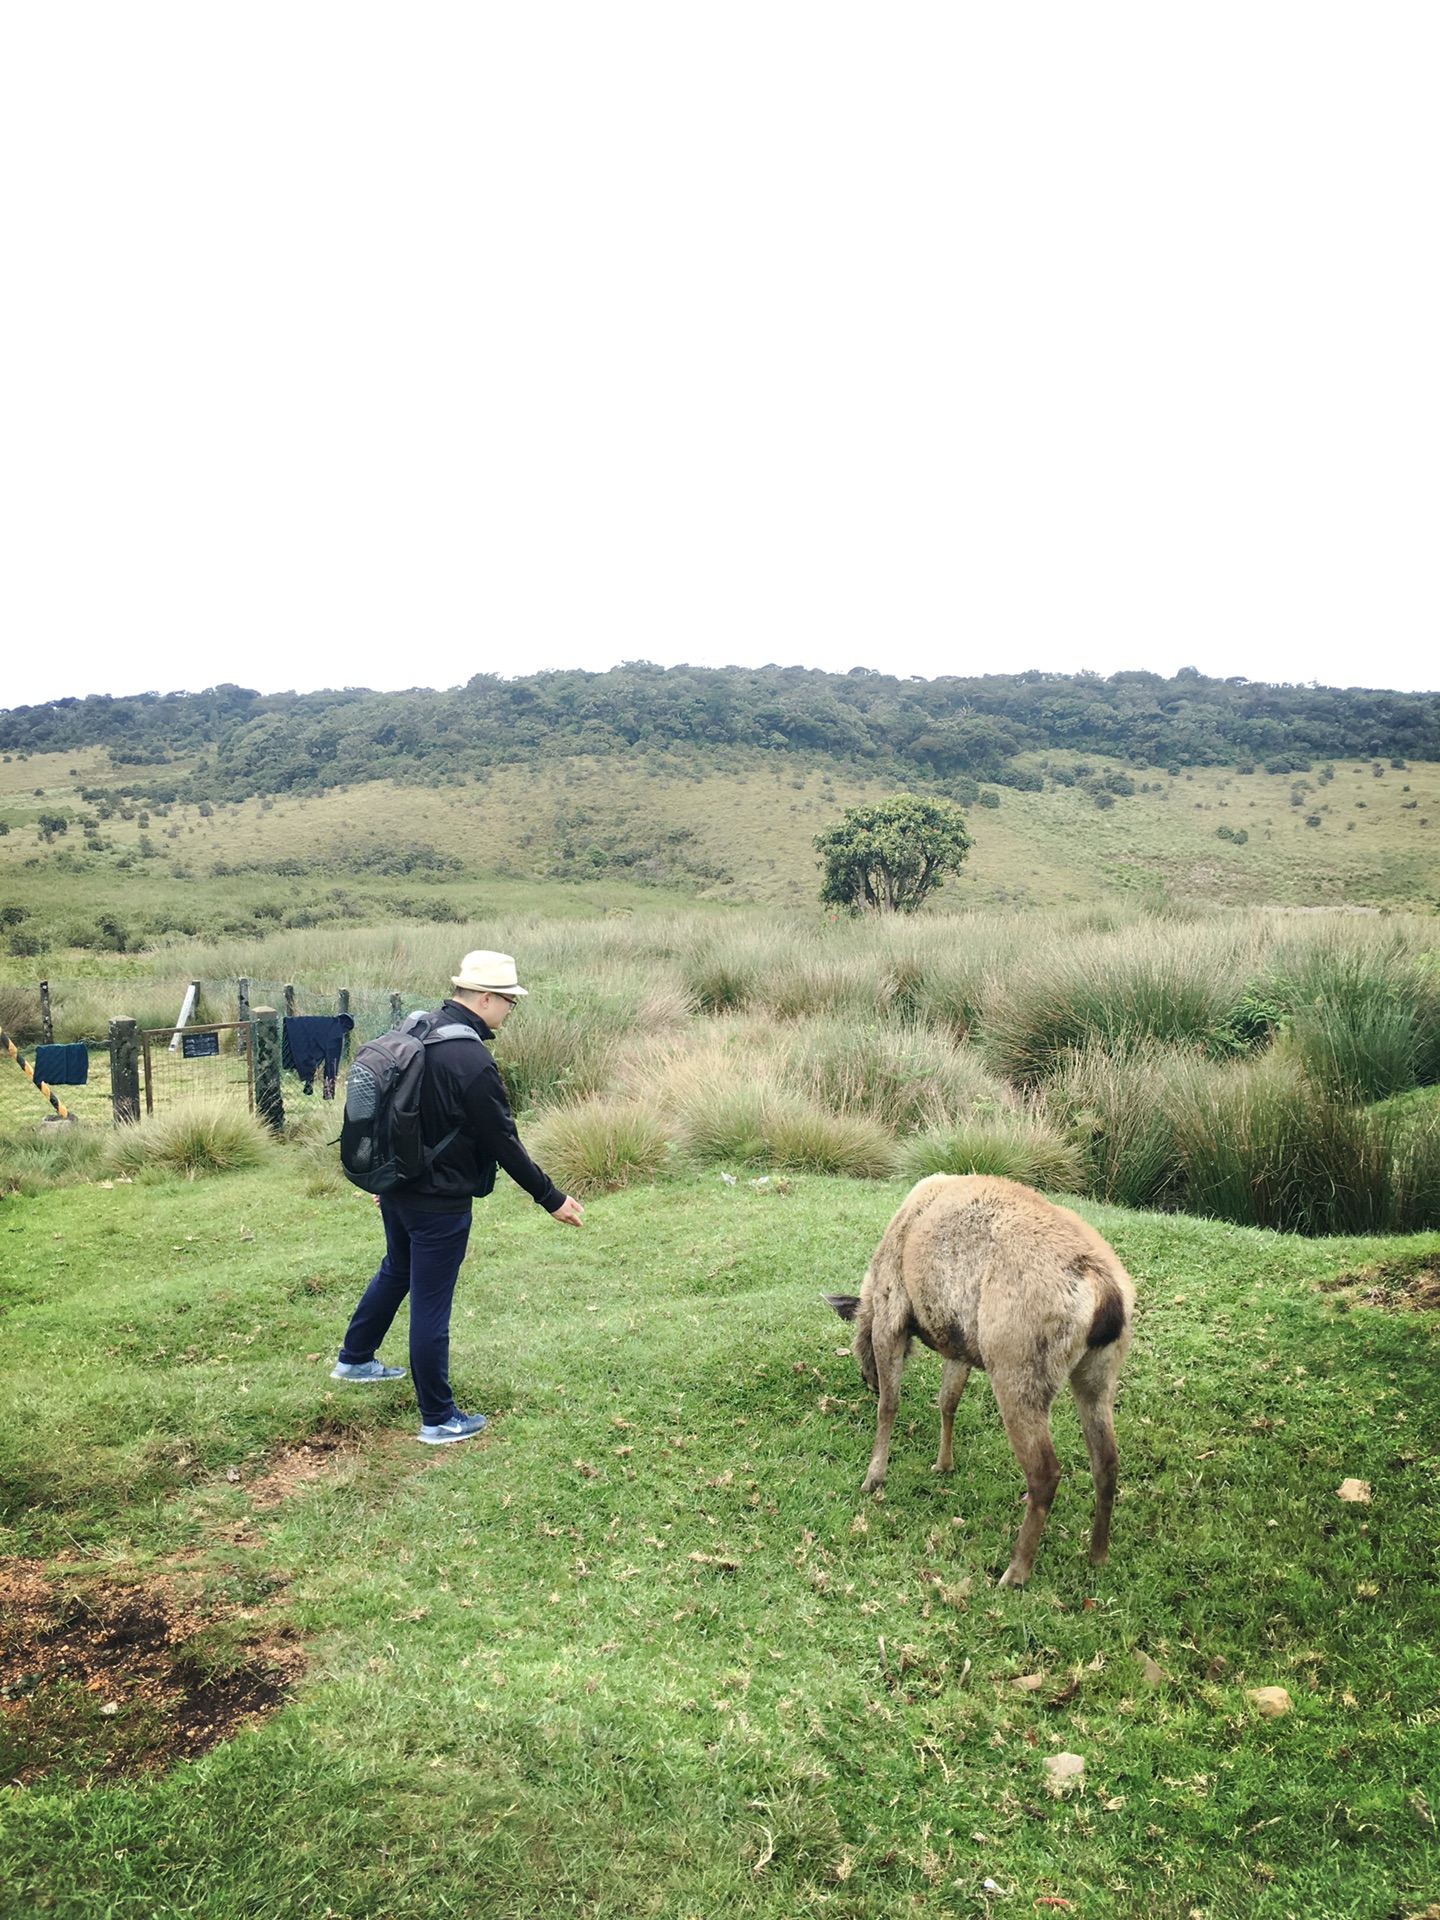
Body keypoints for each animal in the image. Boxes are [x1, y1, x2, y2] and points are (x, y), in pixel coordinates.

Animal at [829, 1167, 1144, 1589]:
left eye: (858, 1349)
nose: (868, 1379)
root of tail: (1105, 1293)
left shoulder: (892, 1310)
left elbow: (890, 1405)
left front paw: (873, 1477)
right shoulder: (959, 1343)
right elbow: (948, 1400)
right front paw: (943, 1464)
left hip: (1018, 1367)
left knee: (1045, 1472)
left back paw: (1015, 1571)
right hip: (1099, 1374)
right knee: (1106, 1462)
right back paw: (1098, 1555)